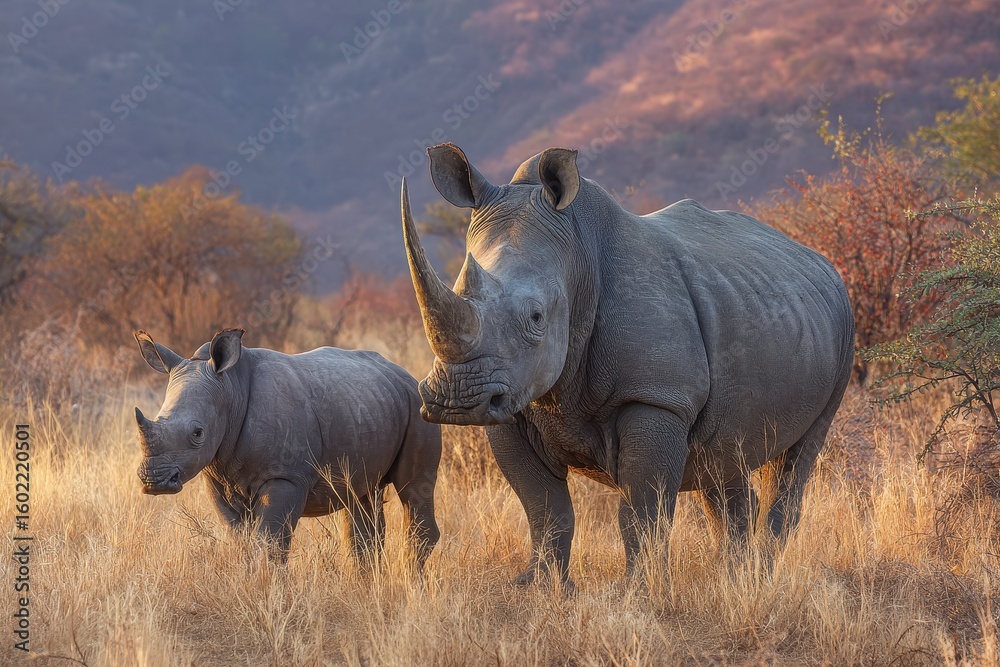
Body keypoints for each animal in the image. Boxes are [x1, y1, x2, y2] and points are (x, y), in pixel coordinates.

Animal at [133, 328, 441, 569]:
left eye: (198, 434)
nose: (154, 480)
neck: (230, 389)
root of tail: (401, 372)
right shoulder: (218, 477)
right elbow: (241, 540)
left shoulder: (285, 476)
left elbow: (270, 544)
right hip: (369, 403)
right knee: (361, 501)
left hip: (417, 406)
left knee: (414, 489)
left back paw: (411, 586)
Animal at [400, 143, 854, 587]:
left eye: (536, 317)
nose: (458, 399)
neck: (577, 256)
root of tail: (821, 261)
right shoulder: (512, 405)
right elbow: (544, 508)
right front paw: (539, 587)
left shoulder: (656, 397)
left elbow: (641, 509)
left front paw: (640, 590)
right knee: (722, 459)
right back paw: (735, 578)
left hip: (842, 332)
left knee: (795, 459)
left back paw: (759, 577)